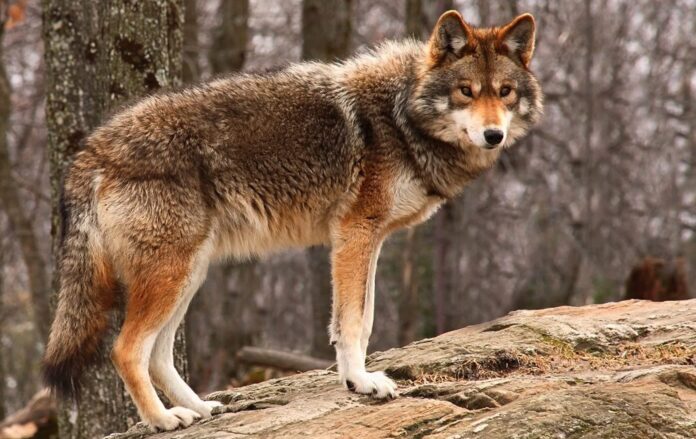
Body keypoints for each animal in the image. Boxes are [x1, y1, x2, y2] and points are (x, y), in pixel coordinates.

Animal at [43, 10, 542, 431]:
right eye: (466, 91)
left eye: (504, 92)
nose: (493, 135)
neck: (401, 117)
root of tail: (90, 150)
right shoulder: (355, 234)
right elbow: (354, 323)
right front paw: (362, 383)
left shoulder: (370, 239)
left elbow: (361, 319)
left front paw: (354, 379)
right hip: (171, 274)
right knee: (127, 350)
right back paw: (164, 420)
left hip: (188, 273)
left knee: (159, 356)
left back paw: (200, 408)